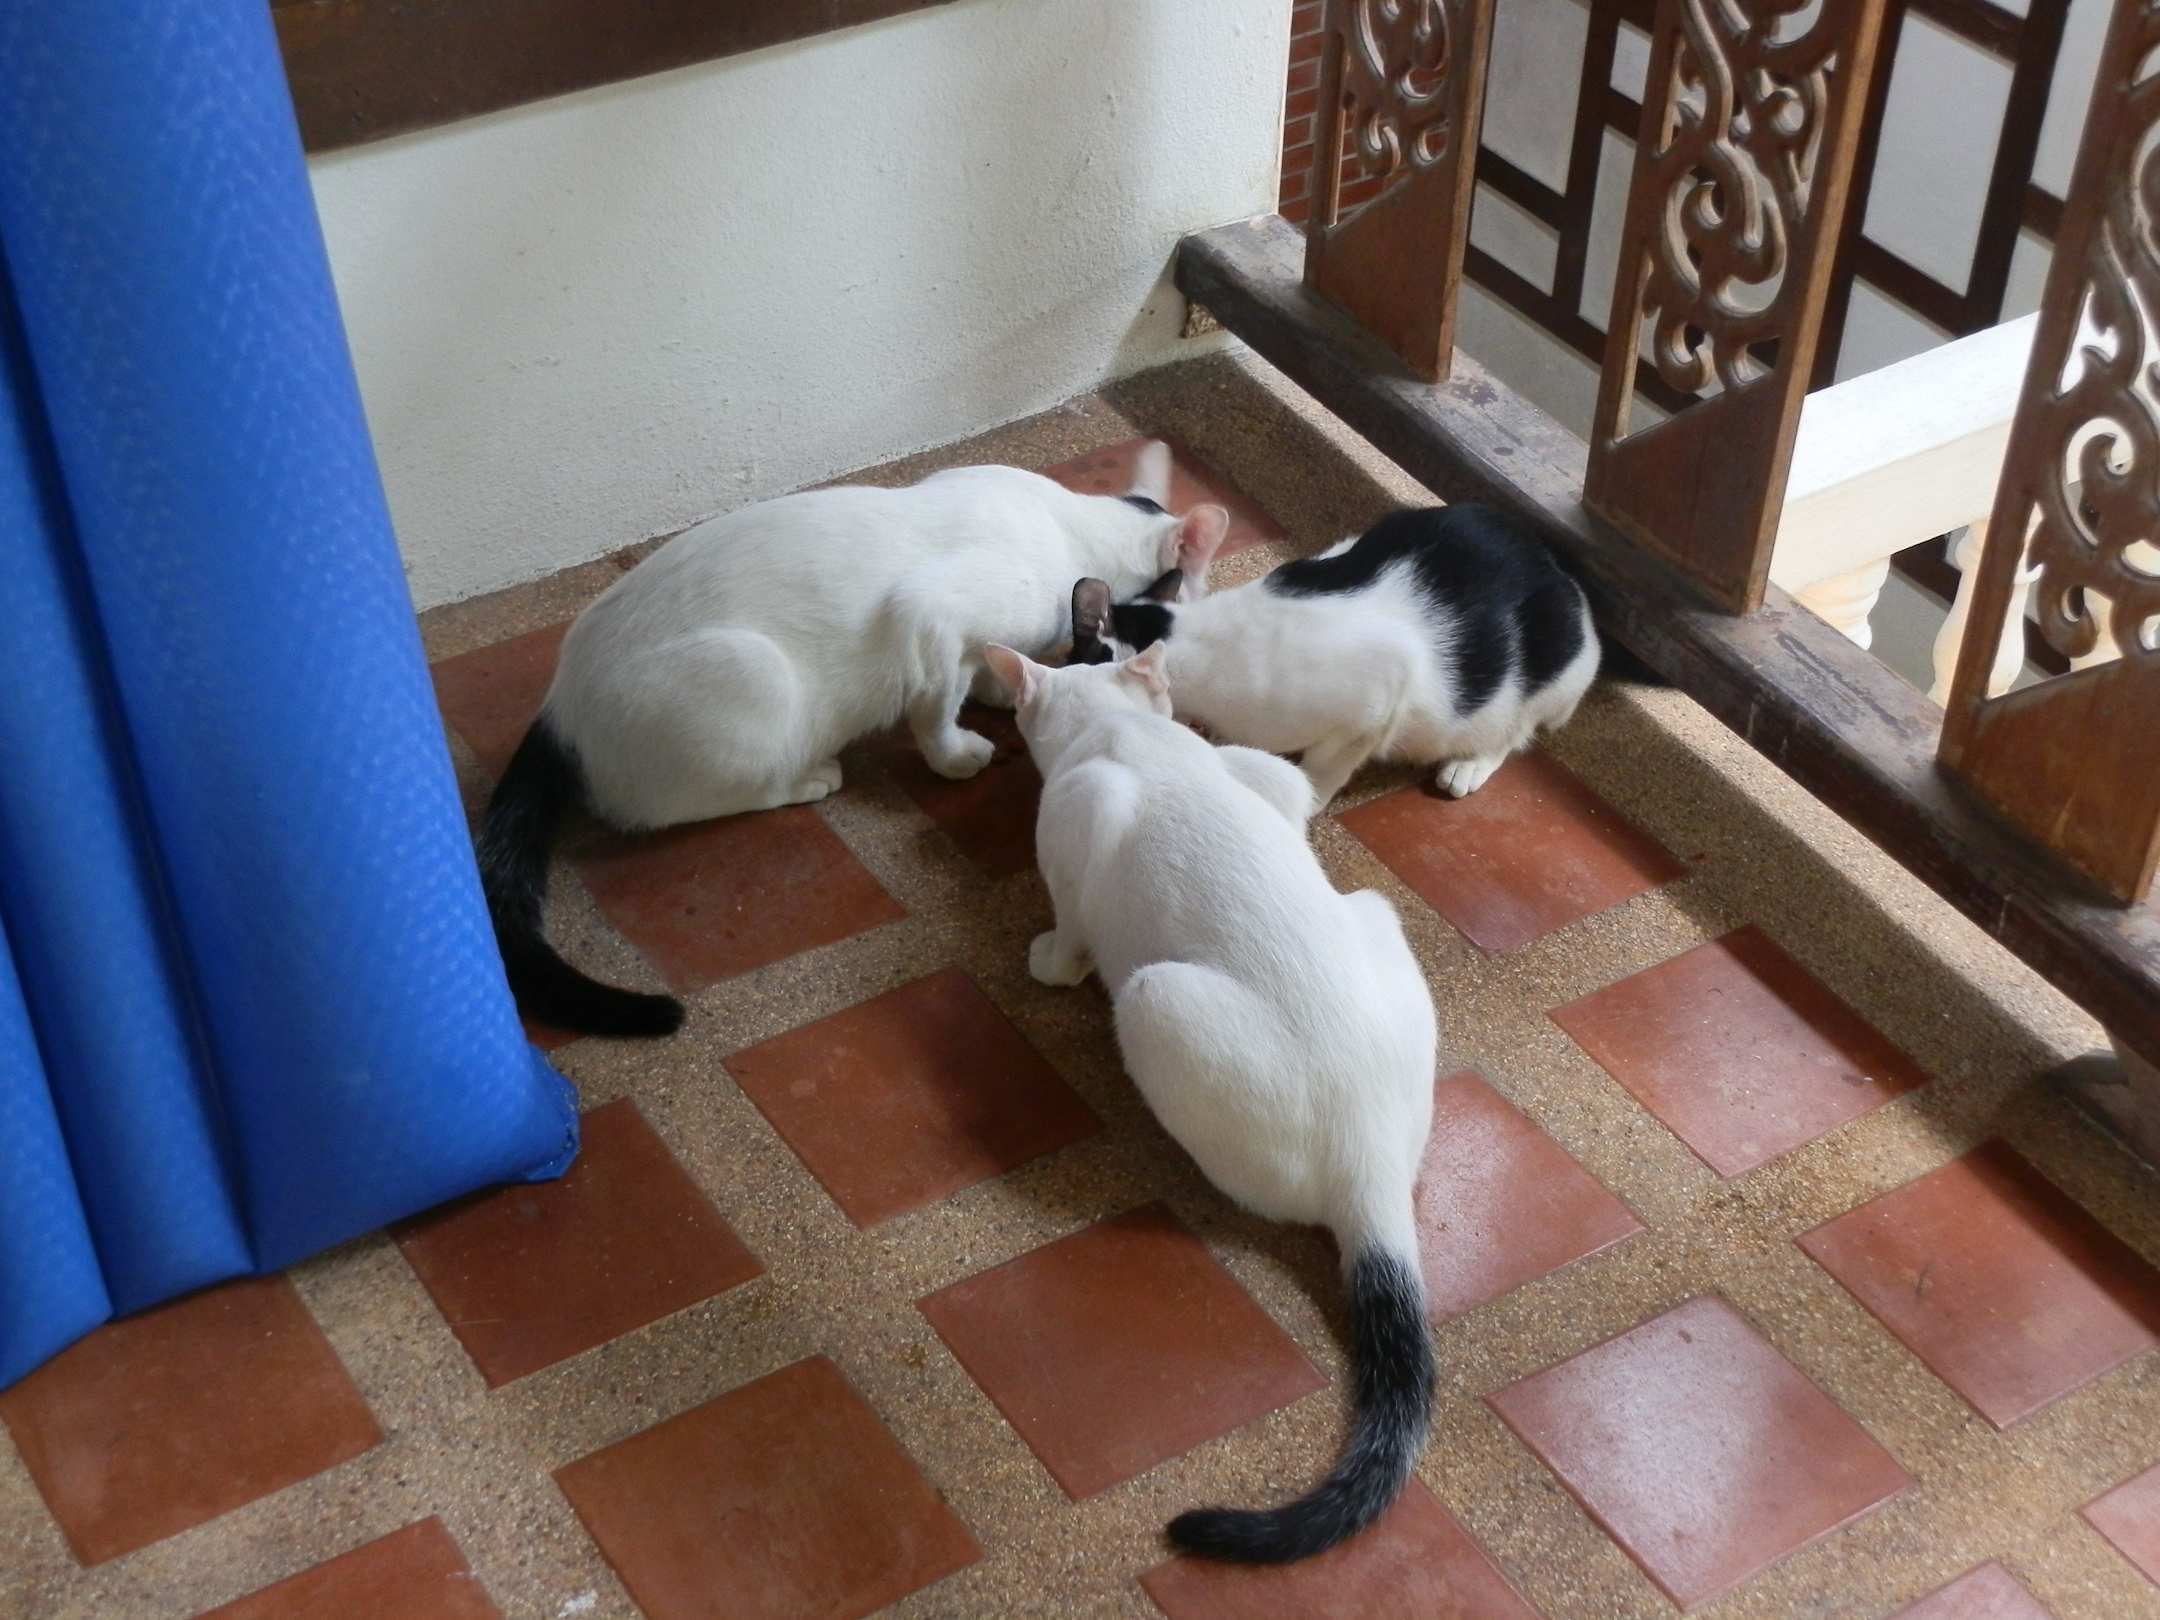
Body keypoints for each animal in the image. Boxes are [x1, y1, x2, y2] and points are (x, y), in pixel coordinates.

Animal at [477, 443, 1230, 1038]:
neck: (1067, 524)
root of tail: (558, 706)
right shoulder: (929, 620)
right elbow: (937, 708)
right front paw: (960, 751)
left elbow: (991, 666)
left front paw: (1000, 687)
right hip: (759, 678)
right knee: (678, 805)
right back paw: (811, 776)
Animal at [981, 638, 1437, 1566]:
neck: (1130, 738)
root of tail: (1370, 1158)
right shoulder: (1270, 777)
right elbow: (1288, 789)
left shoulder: (1079, 829)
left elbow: (1067, 943)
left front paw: (1045, 959)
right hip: (1374, 911)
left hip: (1151, 999)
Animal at [1066, 502, 1628, 808]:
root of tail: (1555, 566)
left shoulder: (1379, 696)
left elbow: (1325, 769)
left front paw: (1304, 796)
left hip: (1554, 673)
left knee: (1515, 731)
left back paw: (1467, 766)